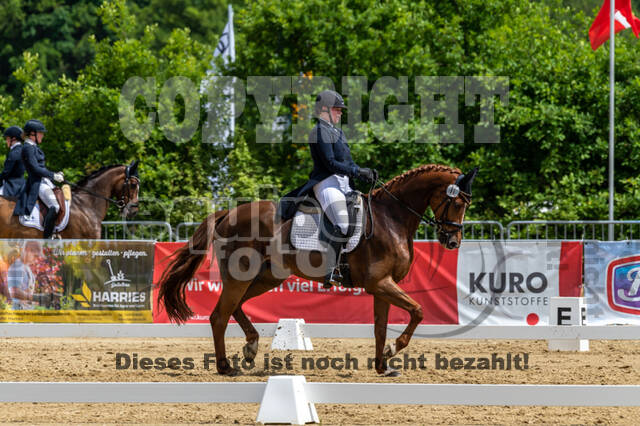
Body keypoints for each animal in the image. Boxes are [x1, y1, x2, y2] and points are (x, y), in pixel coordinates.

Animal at [158, 164, 477, 376]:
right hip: (241, 276)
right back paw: (225, 368)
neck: (391, 218)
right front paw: (392, 351)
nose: (453, 242)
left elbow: (380, 328)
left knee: (236, 306)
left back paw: (251, 347)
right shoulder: (379, 283)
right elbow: (418, 311)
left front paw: (382, 366)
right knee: (219, 316)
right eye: (457, 203)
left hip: (267, 276)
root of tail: (228, 214)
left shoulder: (383, 286)